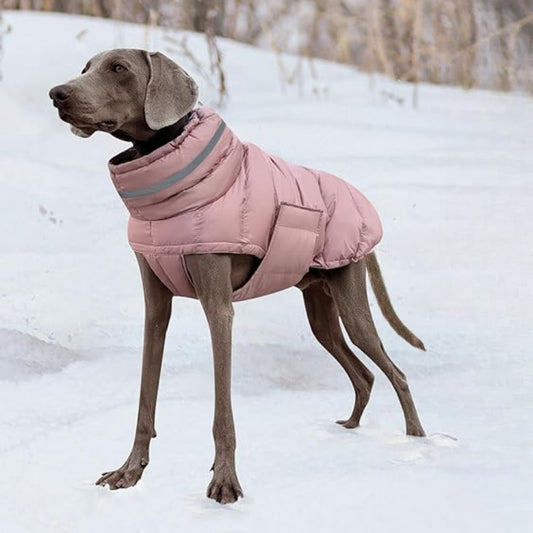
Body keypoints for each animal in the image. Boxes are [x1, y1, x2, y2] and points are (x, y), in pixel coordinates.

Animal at [48, 48, 424, 502]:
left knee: (396, 373)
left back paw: (418, 439)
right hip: (321, 312)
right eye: (85, 69)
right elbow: (145, 399)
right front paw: (130, 471)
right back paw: (351, 426)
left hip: (352, 304)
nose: (57, 93)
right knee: (365, 374)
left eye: (118, 68)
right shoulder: (155, 310)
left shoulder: (219, 309)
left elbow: (222, 412)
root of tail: (363, 210)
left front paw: (225, 481)